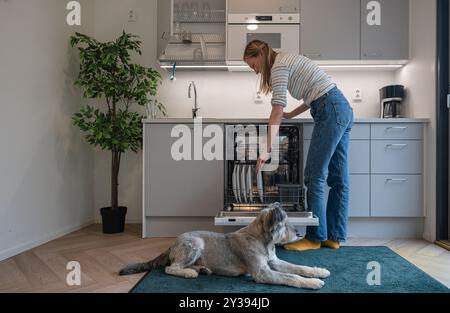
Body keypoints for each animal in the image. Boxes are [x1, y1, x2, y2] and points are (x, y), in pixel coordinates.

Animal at [119, 204, 330, 288]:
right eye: (284, 223)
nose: (299, 234)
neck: (263, 240)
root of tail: (173, 244)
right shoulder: (262, 272)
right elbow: (291, 277)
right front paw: (313, 283)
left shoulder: (274, 262)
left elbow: (298, 268)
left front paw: (319, 272)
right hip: (195, 244)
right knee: (171, 268)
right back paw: (189, 273)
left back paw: (202, 269)